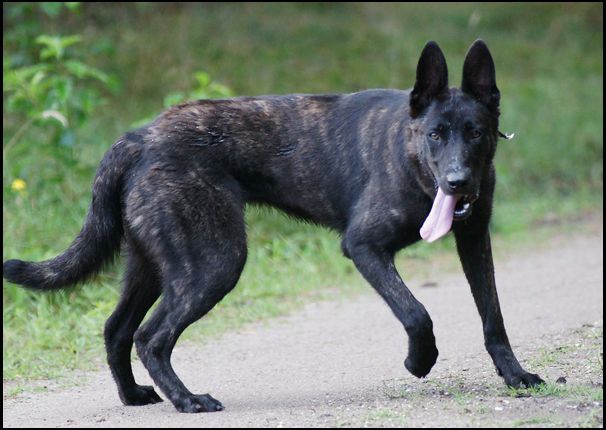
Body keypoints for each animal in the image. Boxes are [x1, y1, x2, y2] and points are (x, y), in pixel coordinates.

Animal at [3, 40, 548, 414]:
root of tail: (138, 137)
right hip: (215, 263)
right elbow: (417, 313)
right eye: (436, 134)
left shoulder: (474, 241)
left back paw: (136, 396)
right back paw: (189, 401)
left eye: (475, 133)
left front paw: (514, 375)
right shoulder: (365, 247)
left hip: (154, 266)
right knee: (150, 337)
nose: (457, 183)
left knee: (117, 330)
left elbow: (493, 317)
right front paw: (420, 362)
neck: (410, 154)